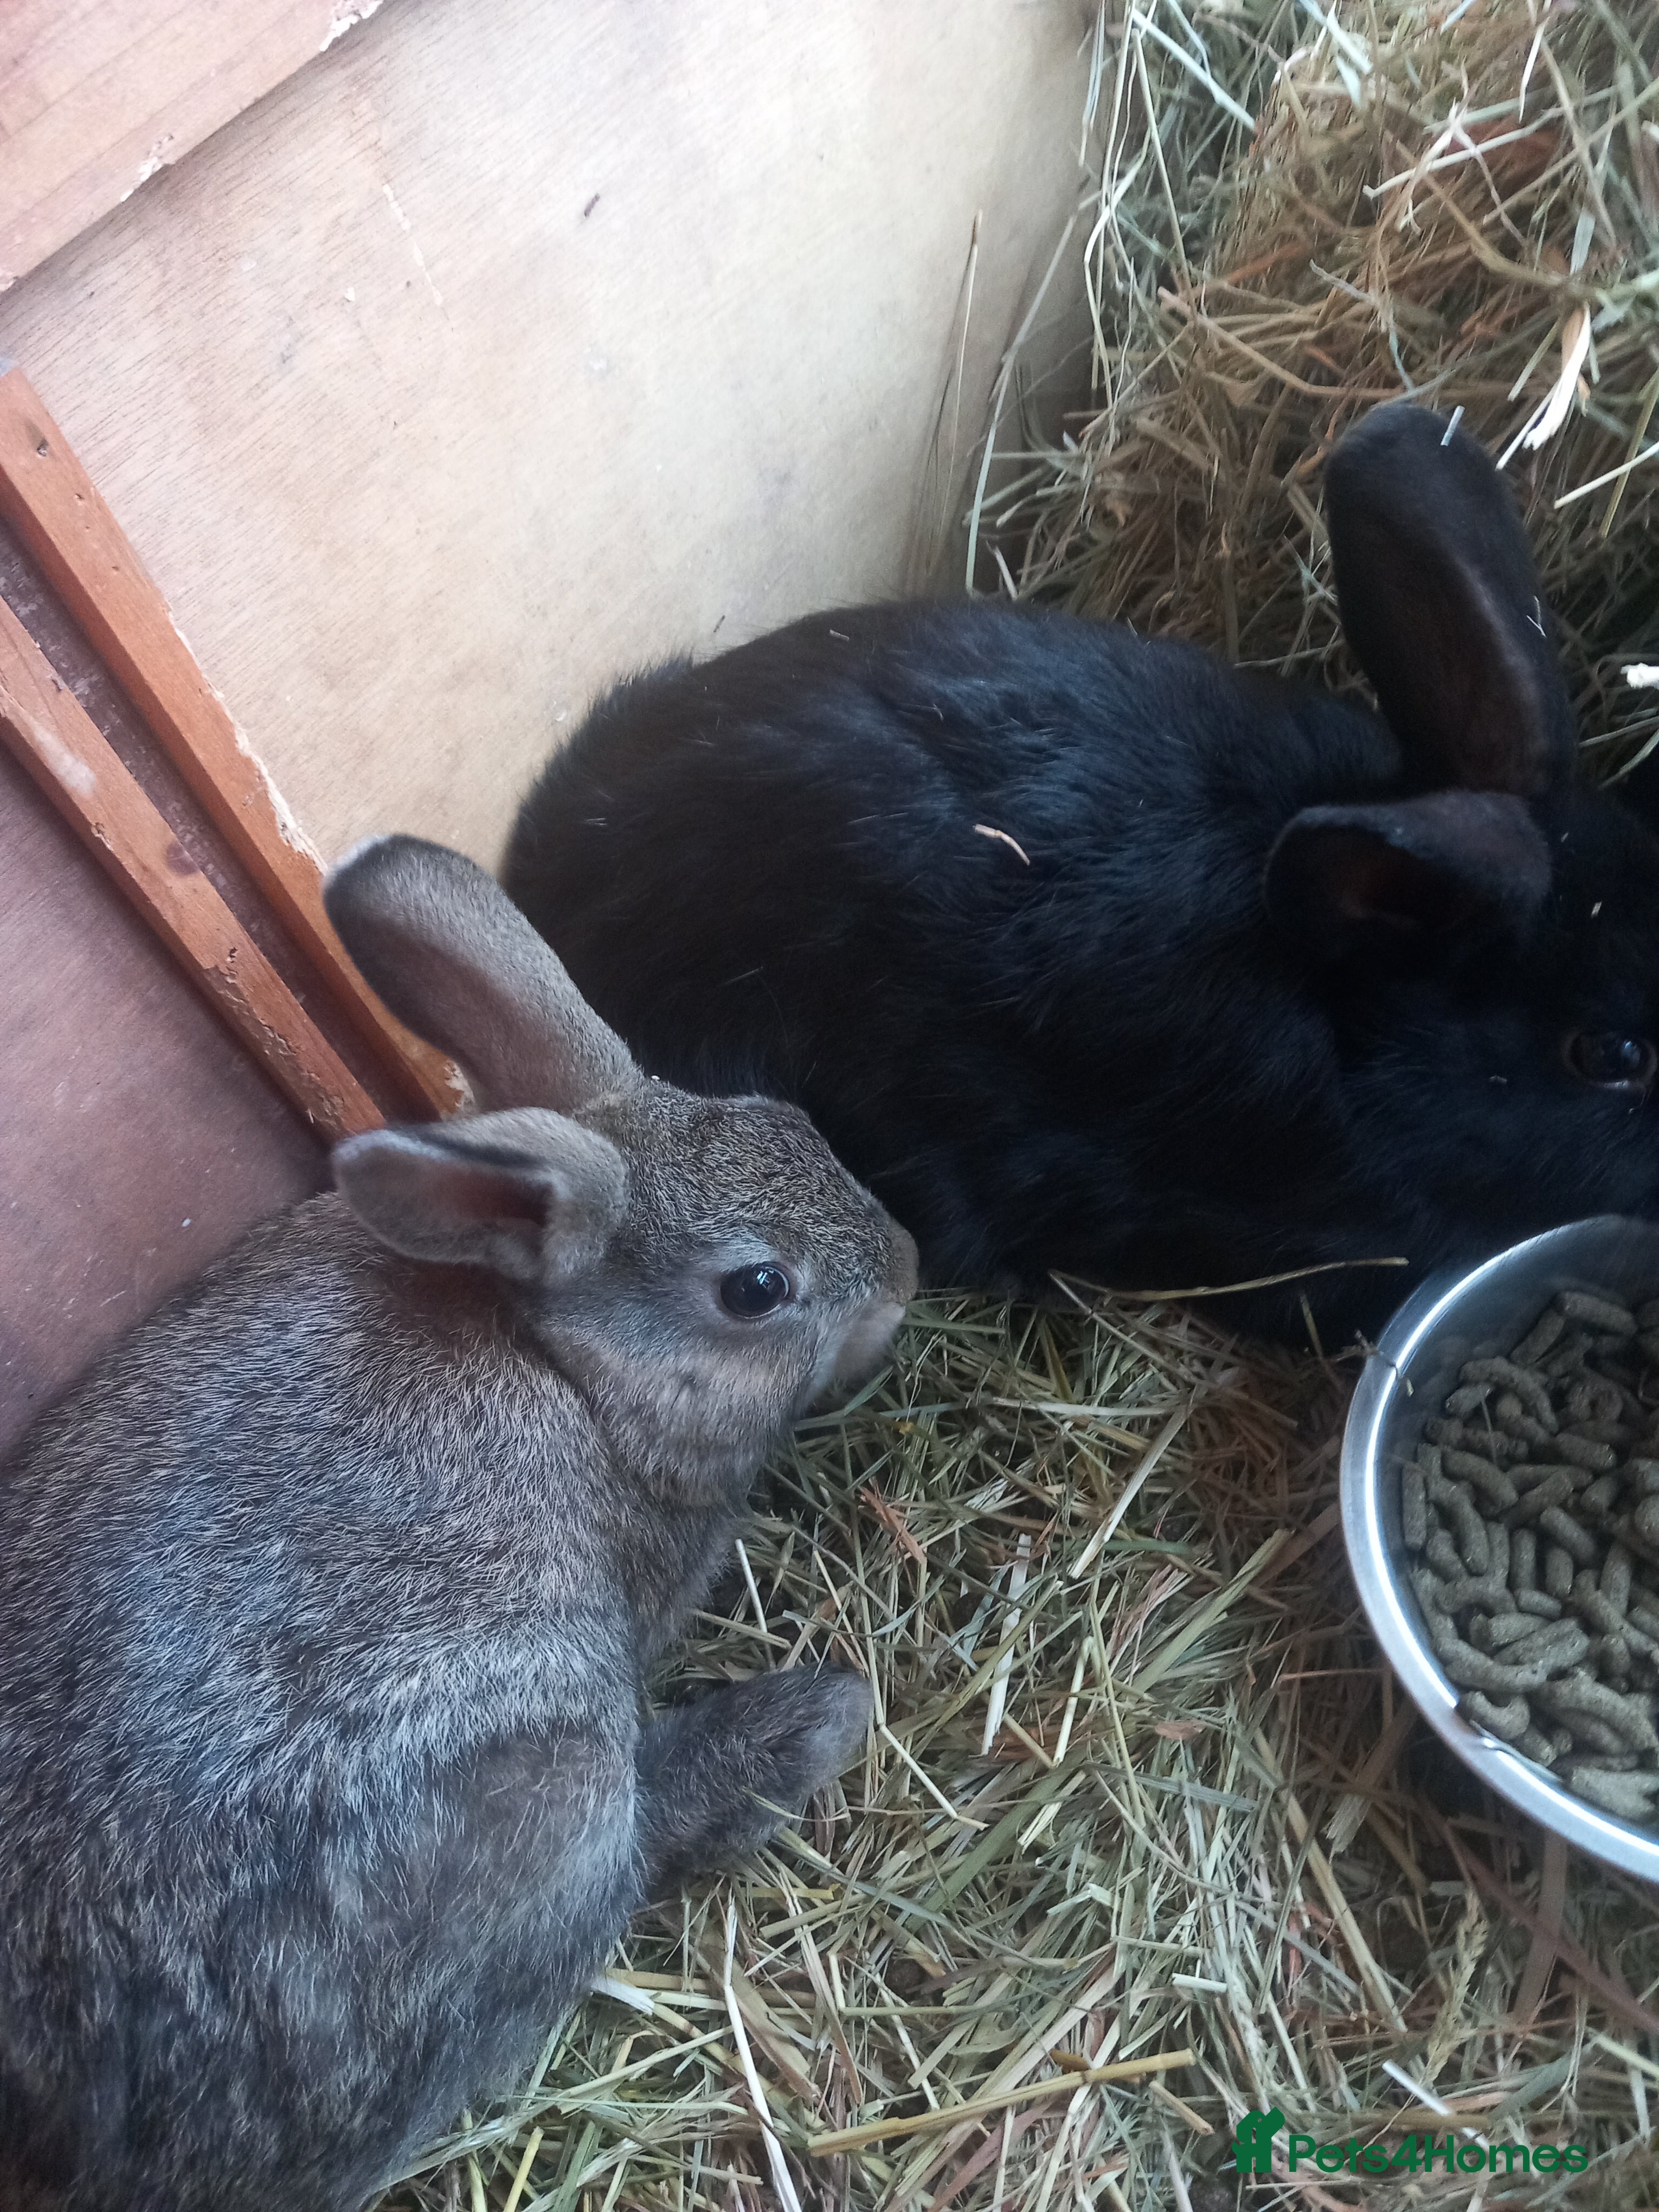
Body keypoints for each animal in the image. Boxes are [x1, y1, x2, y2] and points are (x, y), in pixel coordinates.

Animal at [0, 836, 916, 2212]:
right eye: (759, 1290)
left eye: (790, 1121)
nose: (908, 1269)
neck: (557, 1354)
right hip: (551, 1783)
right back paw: (801, 1726)